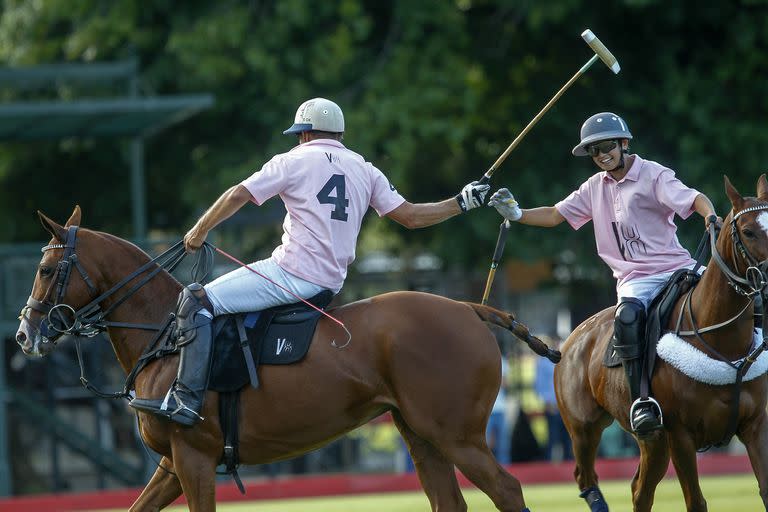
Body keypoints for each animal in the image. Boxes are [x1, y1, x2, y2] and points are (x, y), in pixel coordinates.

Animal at [13, 206, 560, 510]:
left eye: (45, 269)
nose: (23, 333)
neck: (162, 332)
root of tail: (470, 307)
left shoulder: (193, 459)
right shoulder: (172, 464)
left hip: (457, 434)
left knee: (508, 490)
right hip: (421, 434)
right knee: (449, 501)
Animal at [556, 176, 768, 512]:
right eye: (748, 231)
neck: (723, 344)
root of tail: (571, 339)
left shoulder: (755, 424)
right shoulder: (680, 435)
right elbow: (696, 502)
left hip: (652, 441)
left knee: (639, 489)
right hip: (583, 427)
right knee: (585, 475)